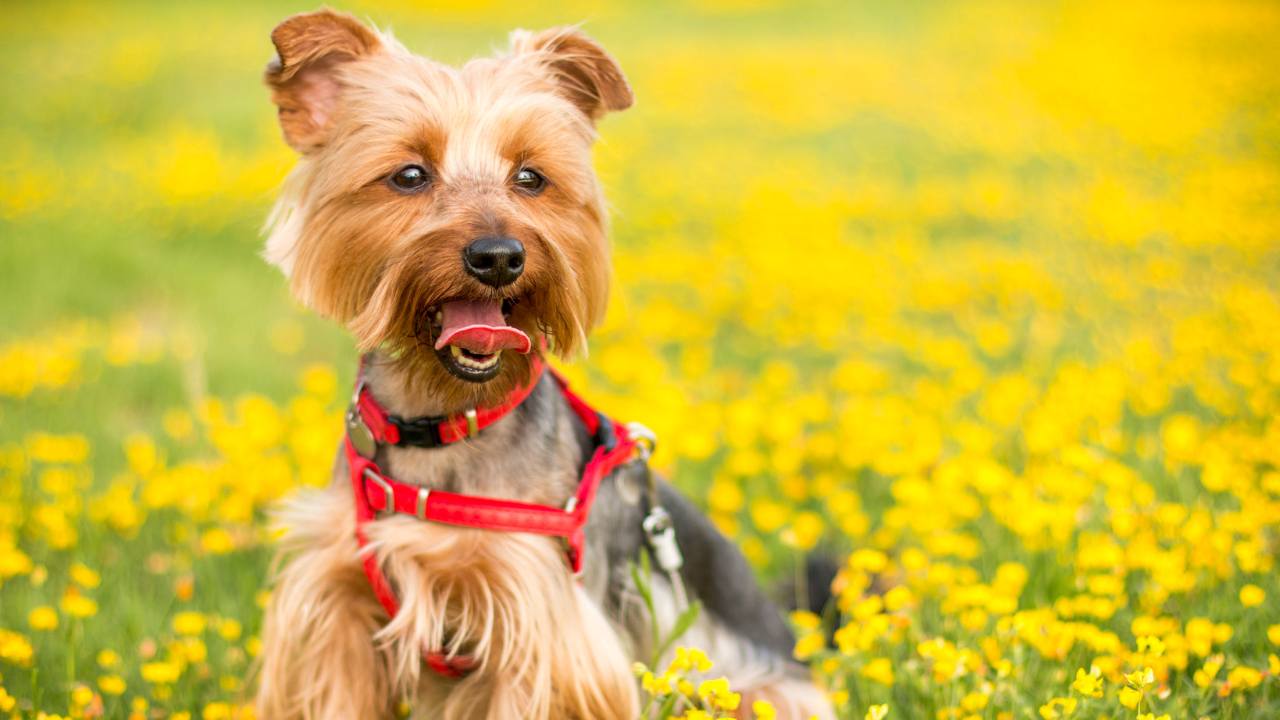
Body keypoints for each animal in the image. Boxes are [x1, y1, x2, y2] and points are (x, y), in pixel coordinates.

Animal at [253, 11, 834, 717]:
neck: (444, 421)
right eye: (410, 175)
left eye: (530, 177)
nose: (499, 255)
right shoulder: (335, 602)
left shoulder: (540, 620)